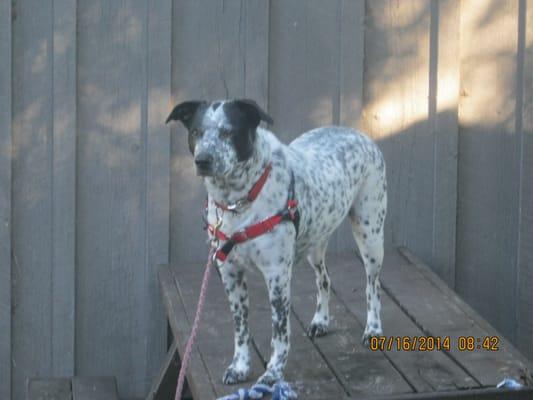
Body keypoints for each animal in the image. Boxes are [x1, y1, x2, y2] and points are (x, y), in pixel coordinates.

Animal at [166, 98, 386, 386]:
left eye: (228, 132)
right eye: (196, 132)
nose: (203, 160)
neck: (237, 204)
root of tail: (359, 134)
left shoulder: (277, 274)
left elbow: (280, 332)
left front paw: (273, 372)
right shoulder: (230, 273)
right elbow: (241, 328)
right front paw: (240, 366)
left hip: (370, 235)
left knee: (373, 286)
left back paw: (373, 328)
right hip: (316, 243)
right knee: (324, 279)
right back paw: (321, 320)